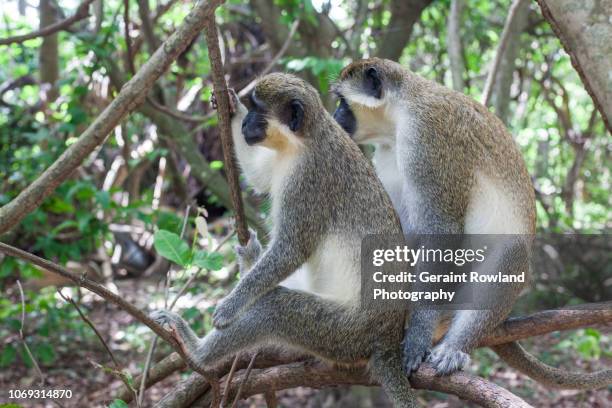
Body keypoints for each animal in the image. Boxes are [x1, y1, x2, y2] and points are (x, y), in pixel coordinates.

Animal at [152, 74, 416, 408]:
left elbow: (291, 250)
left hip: (345, 332)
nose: (245, 123)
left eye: (259, 110)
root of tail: (387, 340)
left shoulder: (308, 180)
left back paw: (197, 352)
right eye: (250, 107)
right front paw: (229, 104)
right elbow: (258, 176)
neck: (301, 141)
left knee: (274, 308)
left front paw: (230, 306)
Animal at [334, 57, 612, 388]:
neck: (400, 113)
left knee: (510, 252)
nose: (334, 115)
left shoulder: (428, 138)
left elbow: (442, 231)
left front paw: (416, 338)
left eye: (342, 101)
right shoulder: (390, 152)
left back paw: (454, 345)